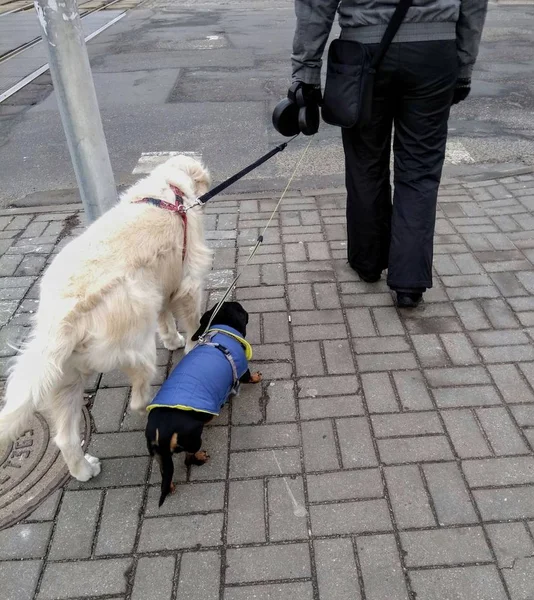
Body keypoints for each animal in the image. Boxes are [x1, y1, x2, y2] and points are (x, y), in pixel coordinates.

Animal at [0, 155, 214, 482]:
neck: (171, 191)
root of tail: (63, 316)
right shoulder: (188, 280)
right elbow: (191, 323)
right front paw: (191, 345)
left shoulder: (161, 284)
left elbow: (164, 316)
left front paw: (172, 339)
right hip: (138, 353)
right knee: (137, 400)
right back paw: (151, 405)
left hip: (65, 381)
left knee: (65, 438)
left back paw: (84, 470)